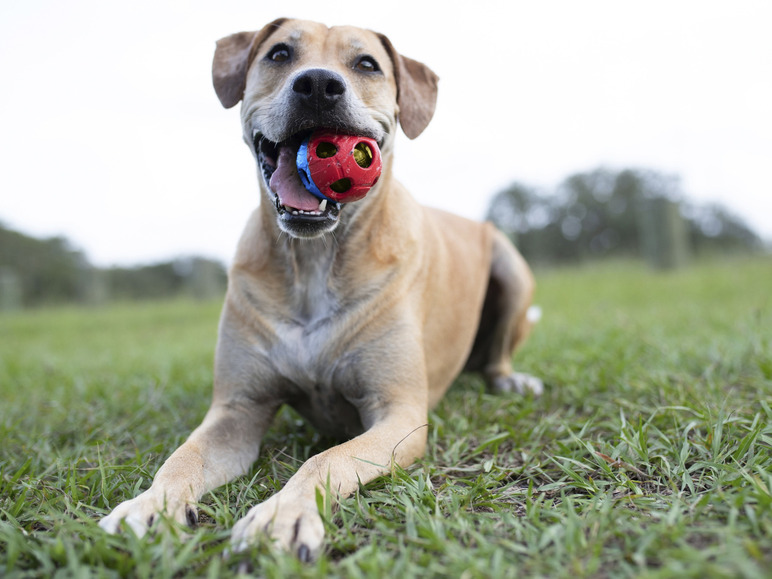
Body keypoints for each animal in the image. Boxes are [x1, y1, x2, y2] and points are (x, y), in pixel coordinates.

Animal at [98, 18, 544, 560]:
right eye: (279, 53)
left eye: (367, 64)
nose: (316, 85)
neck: (313, 260)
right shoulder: (238, 408)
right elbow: (182, 456)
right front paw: (149, 506)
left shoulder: (399, 416)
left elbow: (327, 459)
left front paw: (282, 516)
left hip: (510, 266)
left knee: (500, 355)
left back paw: (511, 380)